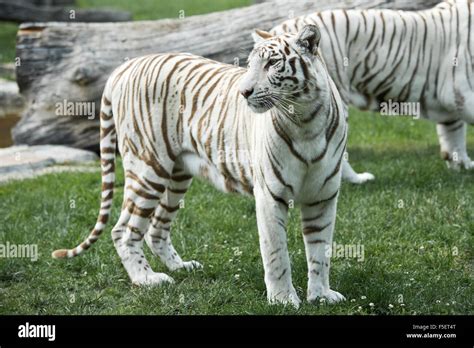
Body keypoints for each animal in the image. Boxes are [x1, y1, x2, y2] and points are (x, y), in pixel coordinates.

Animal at [51, 25, 348, 308]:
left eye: (272, 63)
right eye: (251, 64)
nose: (243, 92)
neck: (305, 120)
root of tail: (124, 67)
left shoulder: (323, 196)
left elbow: (320, 251)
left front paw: (321, 295)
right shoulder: (270, 195)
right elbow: (277, 254)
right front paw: (283, 299)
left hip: (176, 175)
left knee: (156, 227)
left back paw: (181, 267)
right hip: (147, 168)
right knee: (123, 230)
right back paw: (147, 279)